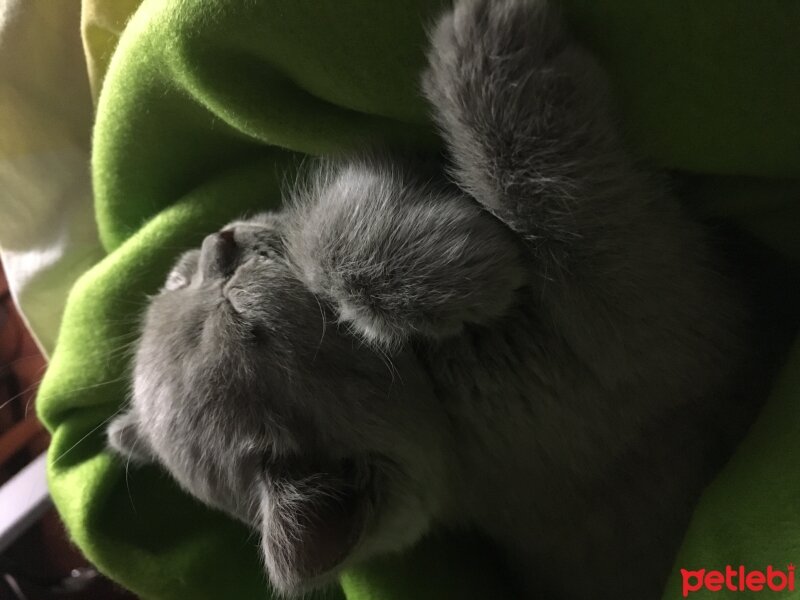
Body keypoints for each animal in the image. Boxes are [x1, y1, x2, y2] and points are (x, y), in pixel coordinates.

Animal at [104, 2, 752, 596]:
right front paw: (484, 50)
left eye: (182, 281)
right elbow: (562, 214)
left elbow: (321, 228)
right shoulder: (655, 315)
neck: (441, 391)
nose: (218, 246)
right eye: (239, 318)